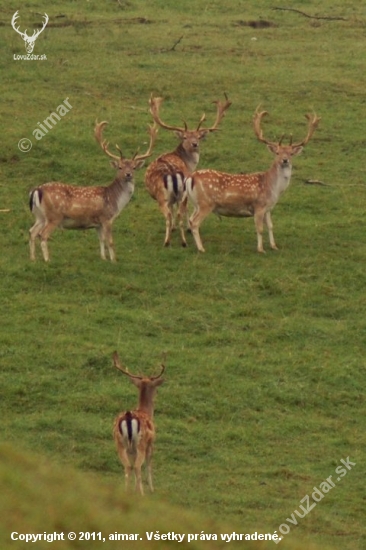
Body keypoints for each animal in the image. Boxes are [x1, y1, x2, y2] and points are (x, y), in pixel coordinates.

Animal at [29, 121, 157, 264]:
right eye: (120, 167)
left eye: (134, 167)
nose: (128, 174)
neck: (114, 200)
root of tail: (37, 190)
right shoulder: (106, 218)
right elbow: (110, 241)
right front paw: (114, 260)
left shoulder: (98, 223)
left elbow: (101, 240)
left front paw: (103, 258)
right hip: (54, 216)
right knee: (43, 234)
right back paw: (47, 259)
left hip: (40, 216)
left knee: (32, 231)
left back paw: (33, 258)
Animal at [112, 354, 165, 500]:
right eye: (155, 388)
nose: (158, 393)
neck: (146, 411)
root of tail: (129, 416)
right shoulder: (151, 443)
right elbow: (148, 465)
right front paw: (151, 489)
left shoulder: (131, 450)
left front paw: (134, 490)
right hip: (141, 443)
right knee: (136, 466)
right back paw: (142, 494)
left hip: (120, 443)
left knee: (127, 466)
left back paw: (126, 491)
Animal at [144, 95, 230, 248]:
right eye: (185, 137)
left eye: (198, 136)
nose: (195, 144)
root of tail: (172, 173)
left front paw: (176, 229)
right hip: (181, 193)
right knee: (179, 212)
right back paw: (182, 239)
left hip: (164, 196)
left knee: (171, 213)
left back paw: (169, 241)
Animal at [186, 106, 320, 254]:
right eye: (277, 153)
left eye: (291, 153)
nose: (285, 160)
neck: (273, 188)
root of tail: (191, 177)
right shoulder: (259, 206)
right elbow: (260, 229)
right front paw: (261, 249)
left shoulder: (268, 208)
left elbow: (271, 226)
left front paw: (274, 246)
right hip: (206, 203)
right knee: (195, 222)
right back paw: (201, 248)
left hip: (196, 204)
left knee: (190, 220)